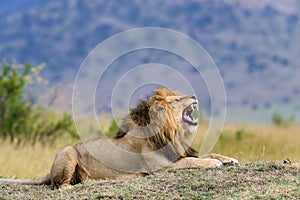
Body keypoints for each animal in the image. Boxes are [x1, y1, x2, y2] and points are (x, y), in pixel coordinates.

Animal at [1, 88, 238, 189]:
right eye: (176, 100)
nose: (195, 95)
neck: (174, 134)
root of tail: (48, 172)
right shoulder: (160, 167)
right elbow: (193, 161)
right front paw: (214, 163)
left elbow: (204, 154)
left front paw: (228, 159)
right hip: (68, 151)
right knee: (59, 185)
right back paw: (79, 184)